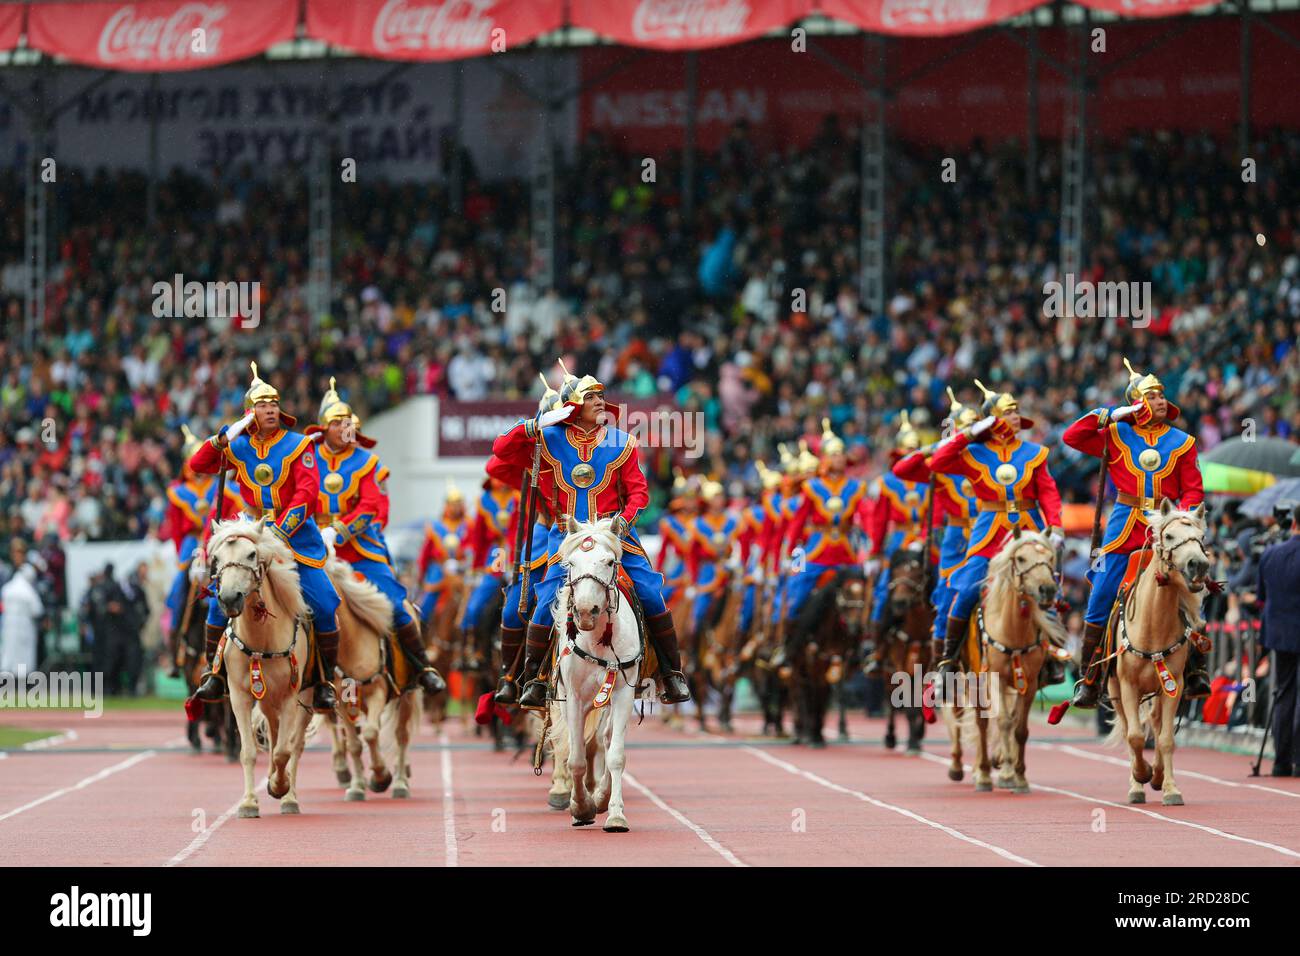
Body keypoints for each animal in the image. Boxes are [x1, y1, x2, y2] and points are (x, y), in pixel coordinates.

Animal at [209, 520, 318, 816]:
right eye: (217, 559)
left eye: (251, 554)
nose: (229, 599)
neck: (262, 636)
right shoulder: (240, 697)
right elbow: (248, 751)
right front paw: (249, 801)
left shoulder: (291, 697)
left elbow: (285, 751)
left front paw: (281, 787)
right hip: (268, 701)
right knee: (273, 732)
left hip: (304, 699)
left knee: (295, 745)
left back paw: (289, 795)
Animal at [543, 520, 639, 832]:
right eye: (571, 563)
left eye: (609, 562)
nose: (585, 611)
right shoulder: (573, 698)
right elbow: (575, 757)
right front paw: (580, 807)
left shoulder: (622, 694)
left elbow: (616, 755)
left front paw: (615, 814)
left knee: (607, 741)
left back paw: (603, 796)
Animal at [972, 530, 1060, 790]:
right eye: (1020, 558)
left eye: (1050, 558)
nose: (1047, 590)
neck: (1013, 630)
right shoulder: (995, 679)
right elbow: (1002, 721)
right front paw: (1006, 774)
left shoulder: (1029, 683)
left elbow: (1019, 728)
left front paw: (1019, 776)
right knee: (982, 723)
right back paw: (983, 773)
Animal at [1107, 502, 1206, 806]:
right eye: (1170, 536)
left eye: (1202, 537)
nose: (1199, 565)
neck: (1153, 626)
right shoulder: (1127, 685)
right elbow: (1135, 737)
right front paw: (1141, 776)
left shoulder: (1174, 685)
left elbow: (1165, 739)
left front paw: (1168, 786)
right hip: (1115, 690)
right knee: (1129, 728)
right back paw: (1138, 782)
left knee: (1156, 722)